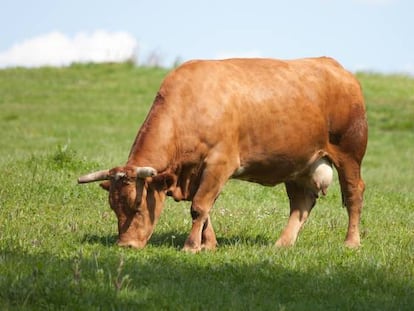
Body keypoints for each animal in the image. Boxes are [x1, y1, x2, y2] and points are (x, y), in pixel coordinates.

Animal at [78, 57, 368, 254]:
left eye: (137, 207)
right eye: (113, 207)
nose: (125, 245)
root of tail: (334, 66)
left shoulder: (220, 163)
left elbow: (199, 207)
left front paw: (191, 246)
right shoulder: (196, 172)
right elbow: (204, 208)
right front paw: (209, 245)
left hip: (349, 153)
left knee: (354, 194)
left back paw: (351, 242)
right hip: (298, 164)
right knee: (301, 203)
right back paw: (282, 244)